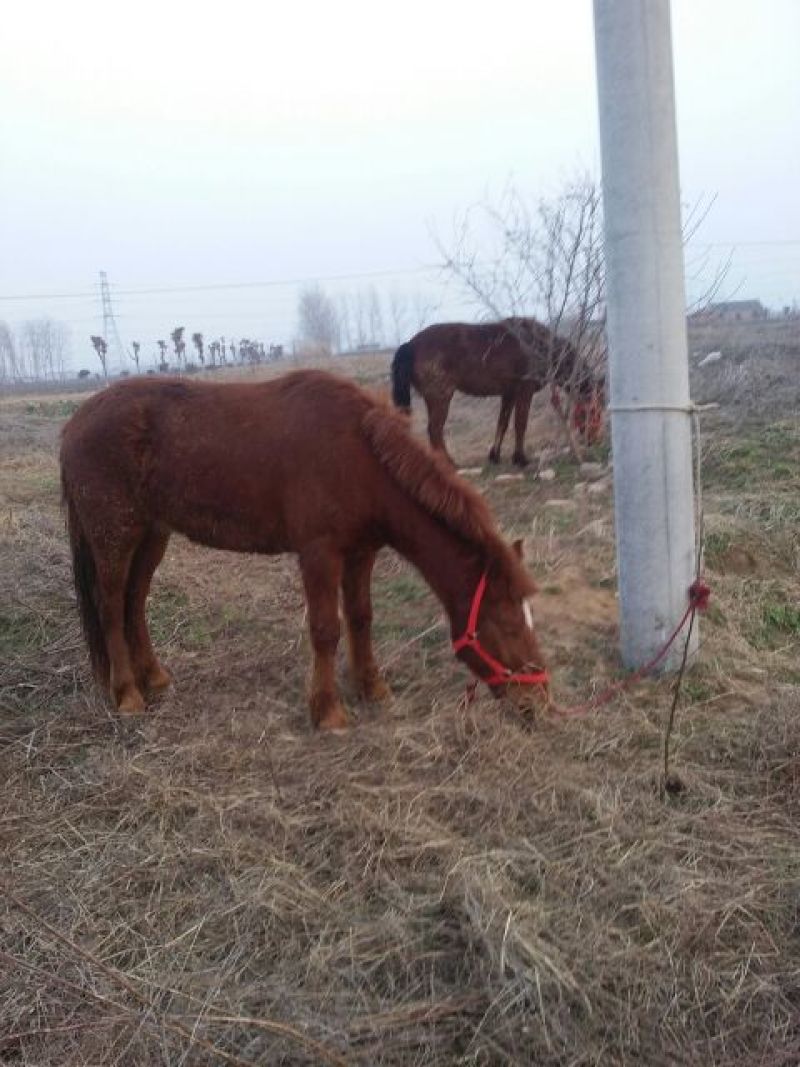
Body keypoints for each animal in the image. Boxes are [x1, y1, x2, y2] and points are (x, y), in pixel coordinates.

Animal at [60, 370, 550, 731]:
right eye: (507, 625)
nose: (539, 702)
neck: (358, 457)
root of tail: (75, 423)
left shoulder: (361, 553)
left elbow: (361, 618)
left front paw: (372, 688)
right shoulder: (319, 553)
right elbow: (326, 629)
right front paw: (328, 711)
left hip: (152, 535)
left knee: (135, 603)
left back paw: (154, 678)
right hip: (115, 537)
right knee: (110, 608)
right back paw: (128, 694)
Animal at [391, 317, 604, 466]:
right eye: (593, 410)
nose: (594, 440)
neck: (538, 345)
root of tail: (411, 344)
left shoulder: (508, 394)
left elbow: (502, 423)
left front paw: (495, 456)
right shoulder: (524, 391)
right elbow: (520, 424)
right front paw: (520, 459)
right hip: (440, 397)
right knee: (435, 430)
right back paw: (449, 463)